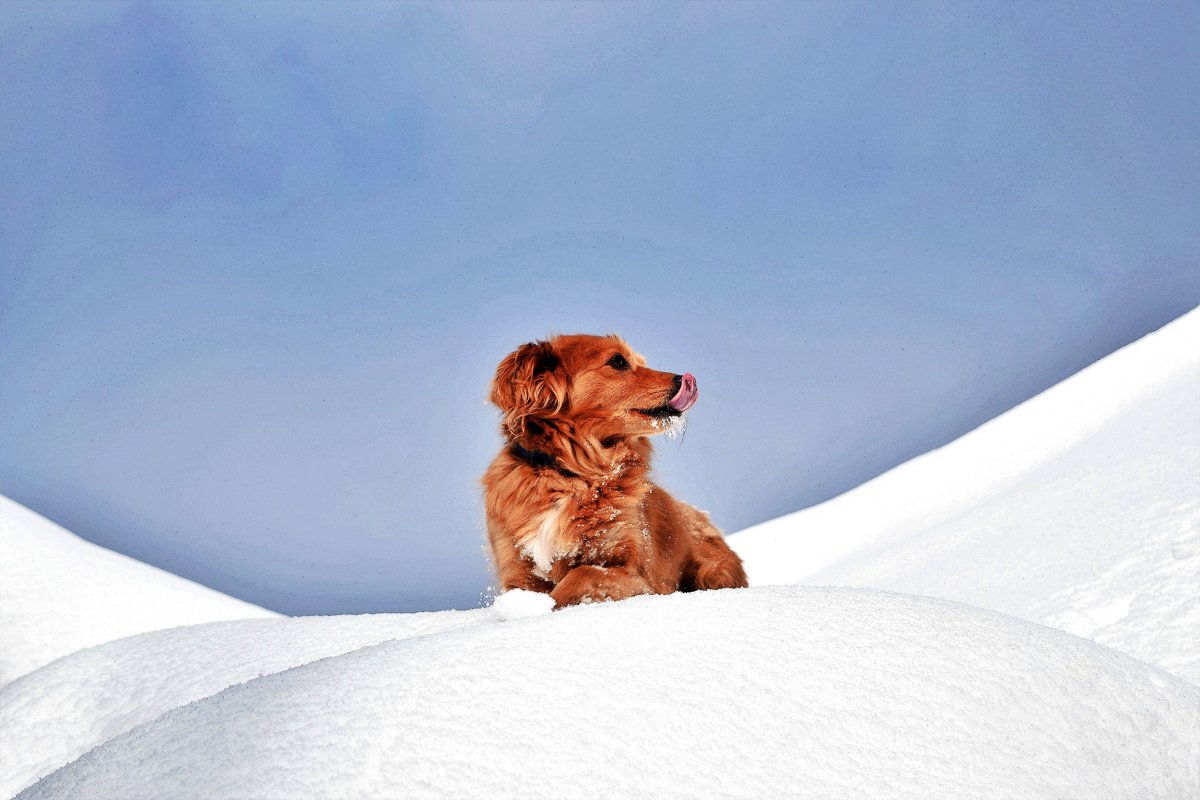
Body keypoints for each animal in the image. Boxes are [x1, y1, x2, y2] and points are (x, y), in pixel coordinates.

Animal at [480, 333, 744, 606]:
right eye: (618, 361)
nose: (685, 379)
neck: (577, 475)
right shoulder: (516, 573)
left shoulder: (635, 573)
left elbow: (581, 575)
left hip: (713, 571)